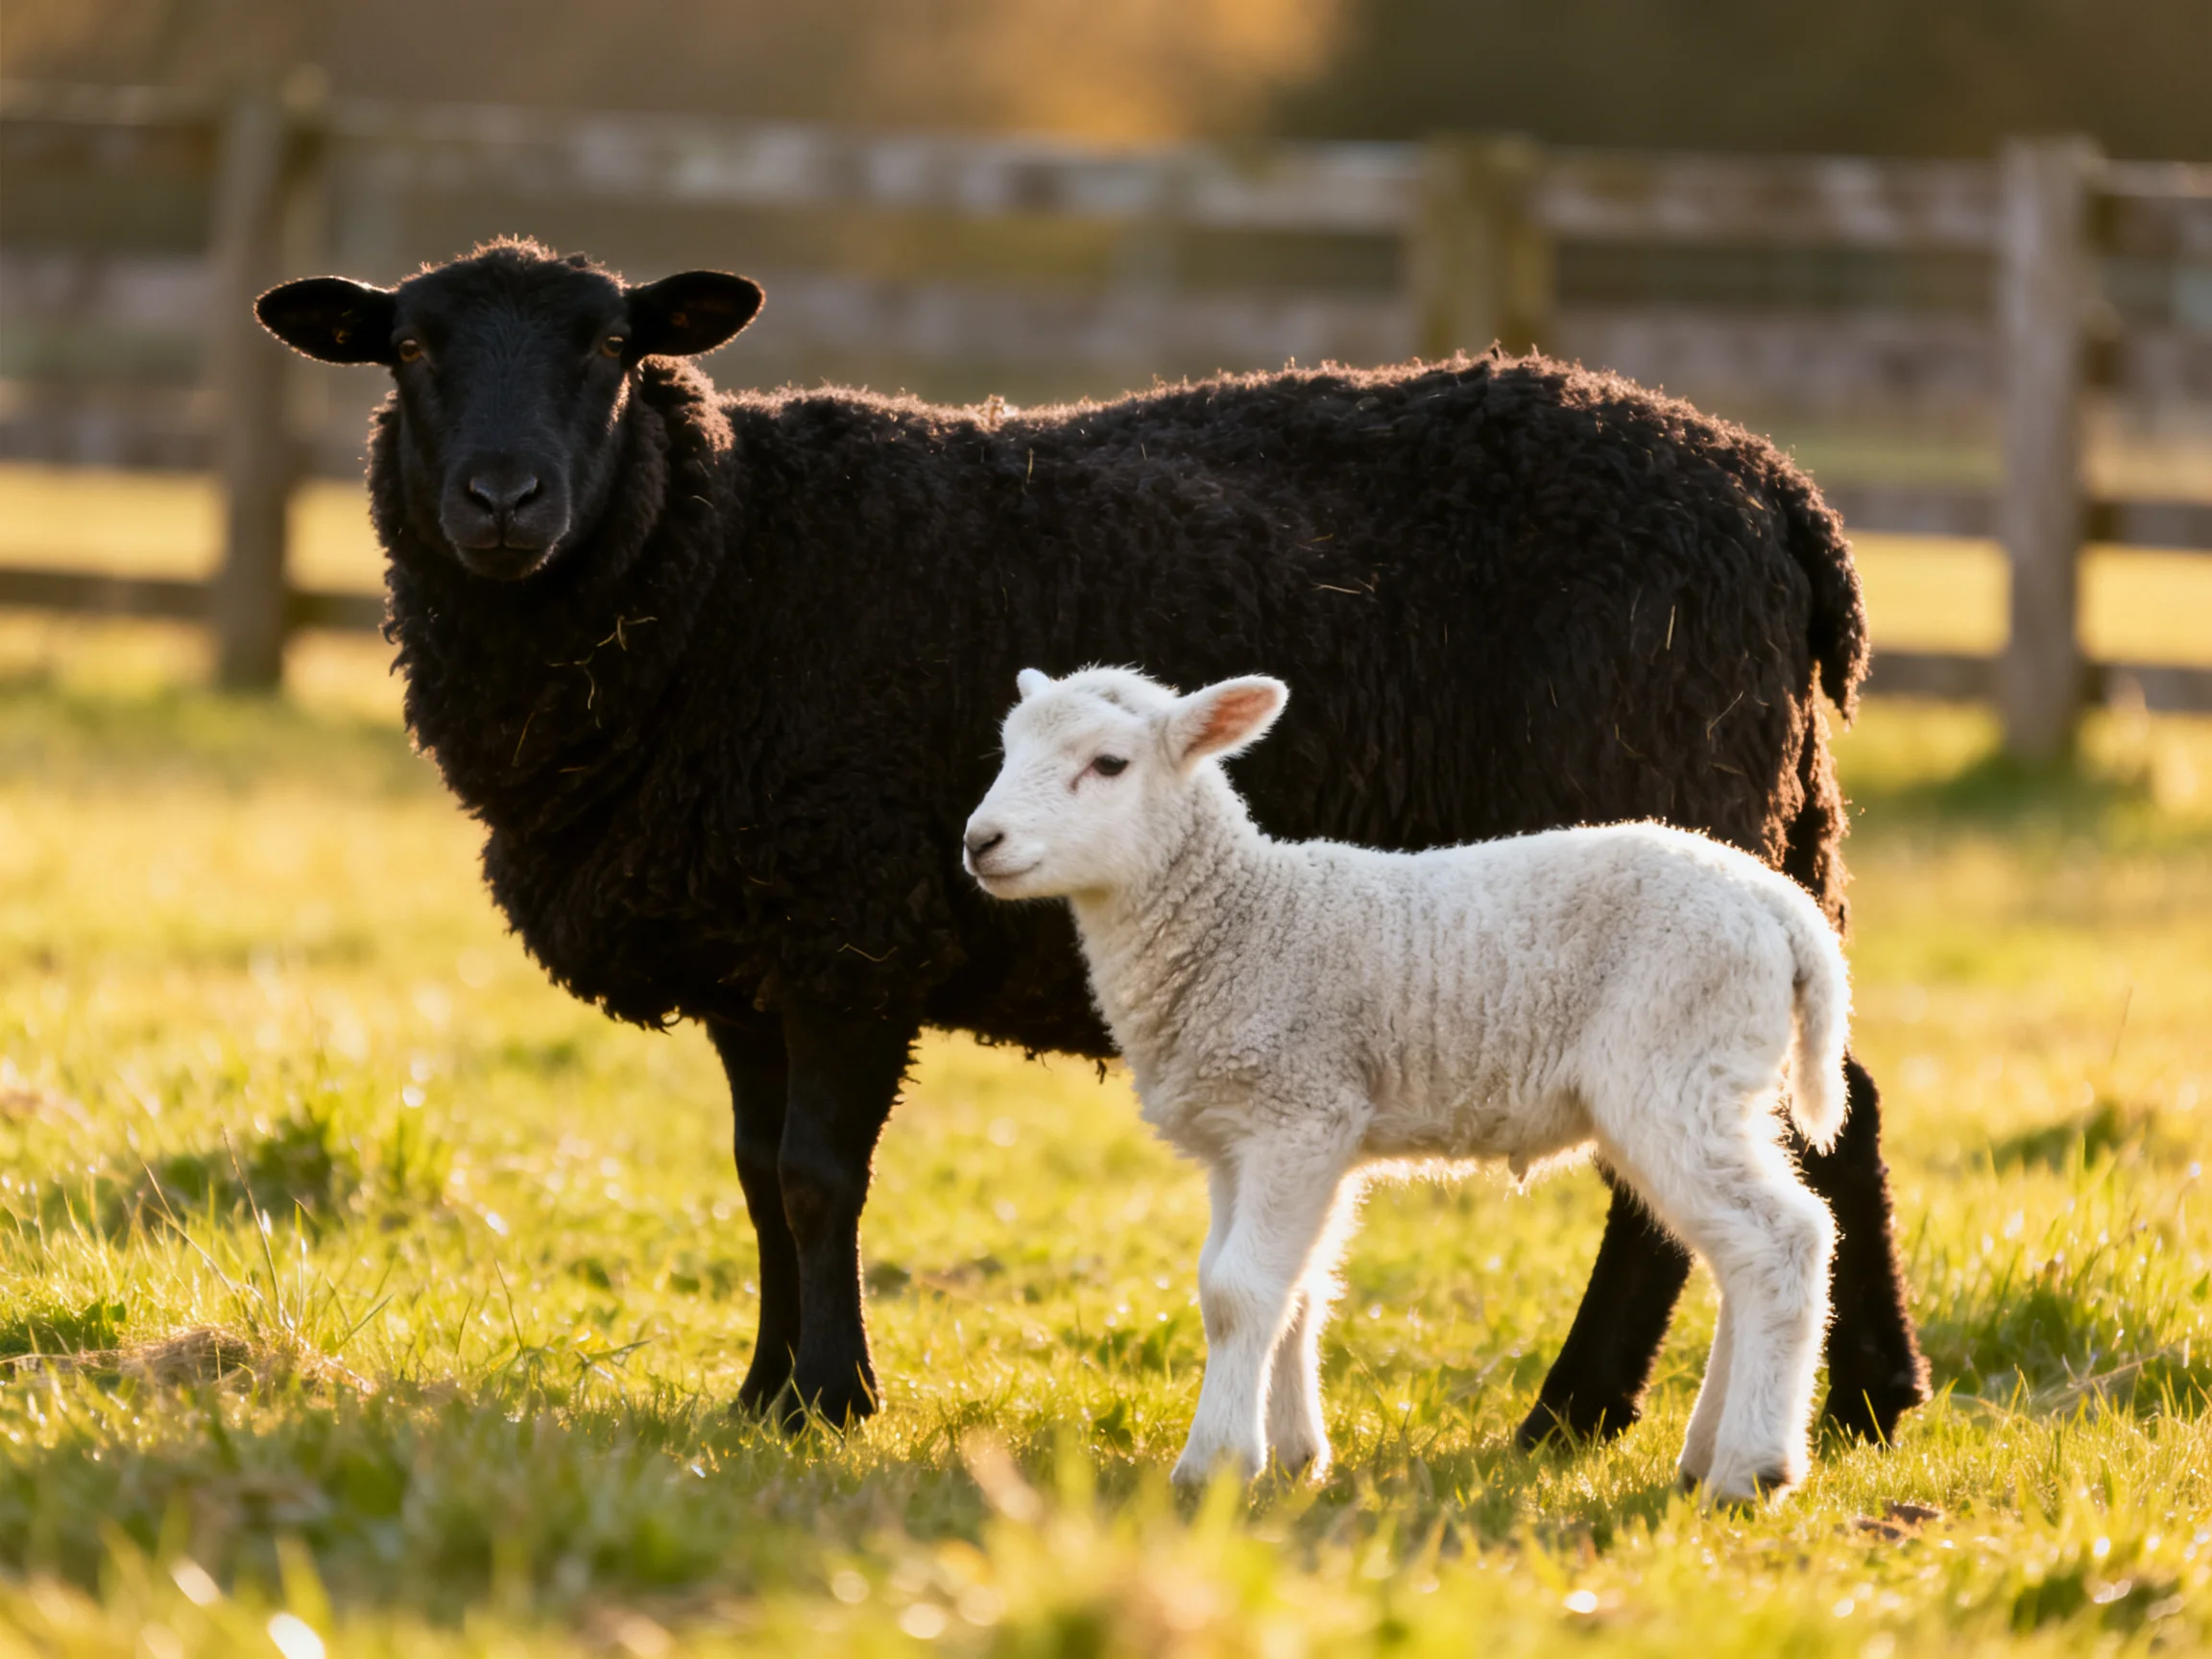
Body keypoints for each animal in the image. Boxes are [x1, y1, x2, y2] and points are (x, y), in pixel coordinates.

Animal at [964, 666, 1853, 1500]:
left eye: (1109, 764)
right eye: (1006, 748)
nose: (979, 841)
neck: (1241, 918)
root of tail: (1782, 908)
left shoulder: (1298, 1110)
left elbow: (1237, 1292)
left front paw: (1215, 1463)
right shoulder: (1248, 1136)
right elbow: (1294, 1286)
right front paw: (1296, 1457)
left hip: (1676, 1065)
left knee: (1783, 1240)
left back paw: (1752, 1469)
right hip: (1719, 1080)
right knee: (1737, 1255)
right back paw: (1706, 1456)